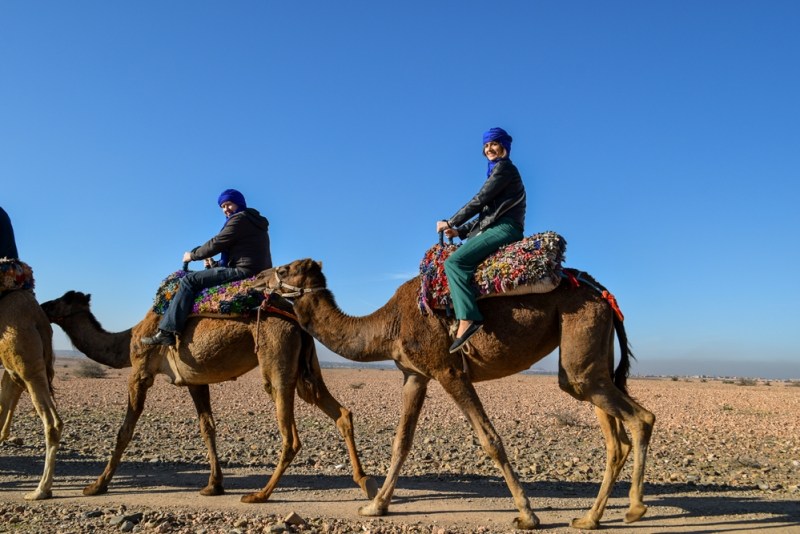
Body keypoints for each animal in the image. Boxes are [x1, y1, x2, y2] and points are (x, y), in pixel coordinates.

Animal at [42, 292, 380, 504]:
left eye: (62, 299)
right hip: (305, 369)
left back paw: (260, 495)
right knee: (340, 412)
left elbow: (124, 431)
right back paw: (365, 481)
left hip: (276, 359)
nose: (43, 305)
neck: (127, 338)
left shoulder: (140, 370)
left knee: (290, 436)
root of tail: (297, 321)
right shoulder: (195, 379)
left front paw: (96, 486)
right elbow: (208, 427)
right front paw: (213, 485)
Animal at [262, 260, 656, 532]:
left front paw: (527, 515)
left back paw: (634, 508)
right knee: (615, 436)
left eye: (284, 269)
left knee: (640, 417)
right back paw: (590, 518)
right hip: (594, 352)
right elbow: (401, 442)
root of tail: (601, 292)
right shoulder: (415, 375)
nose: (261, 279)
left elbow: (490, 439)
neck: (388, 324)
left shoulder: (448, 369)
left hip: (581, 338)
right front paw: (376, 506)